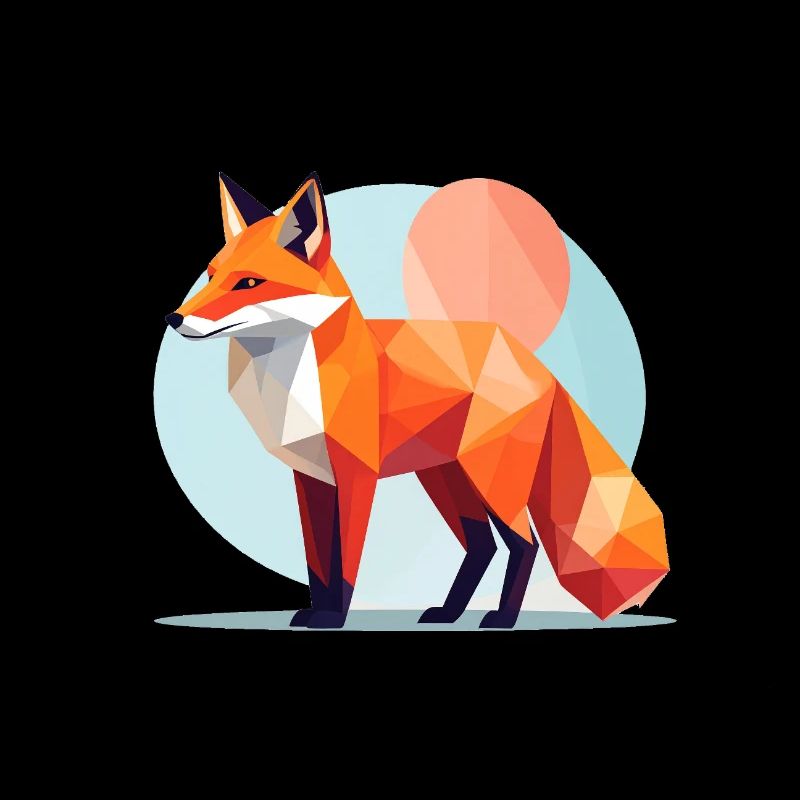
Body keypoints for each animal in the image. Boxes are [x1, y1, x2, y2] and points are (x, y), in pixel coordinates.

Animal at [165, 173, 668, 629]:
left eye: (250, 283)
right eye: (211, 276)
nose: (174, 318)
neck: (293, 386)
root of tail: (529, 357)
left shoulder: (356, 476)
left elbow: (345, 564)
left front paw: (333, 619)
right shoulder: (310, 478)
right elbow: (317, 564)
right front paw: (315, 612)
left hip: (489, 480)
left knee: (525, 544)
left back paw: (502, 618)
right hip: (445, 479)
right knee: (482, 546)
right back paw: (448, 613)